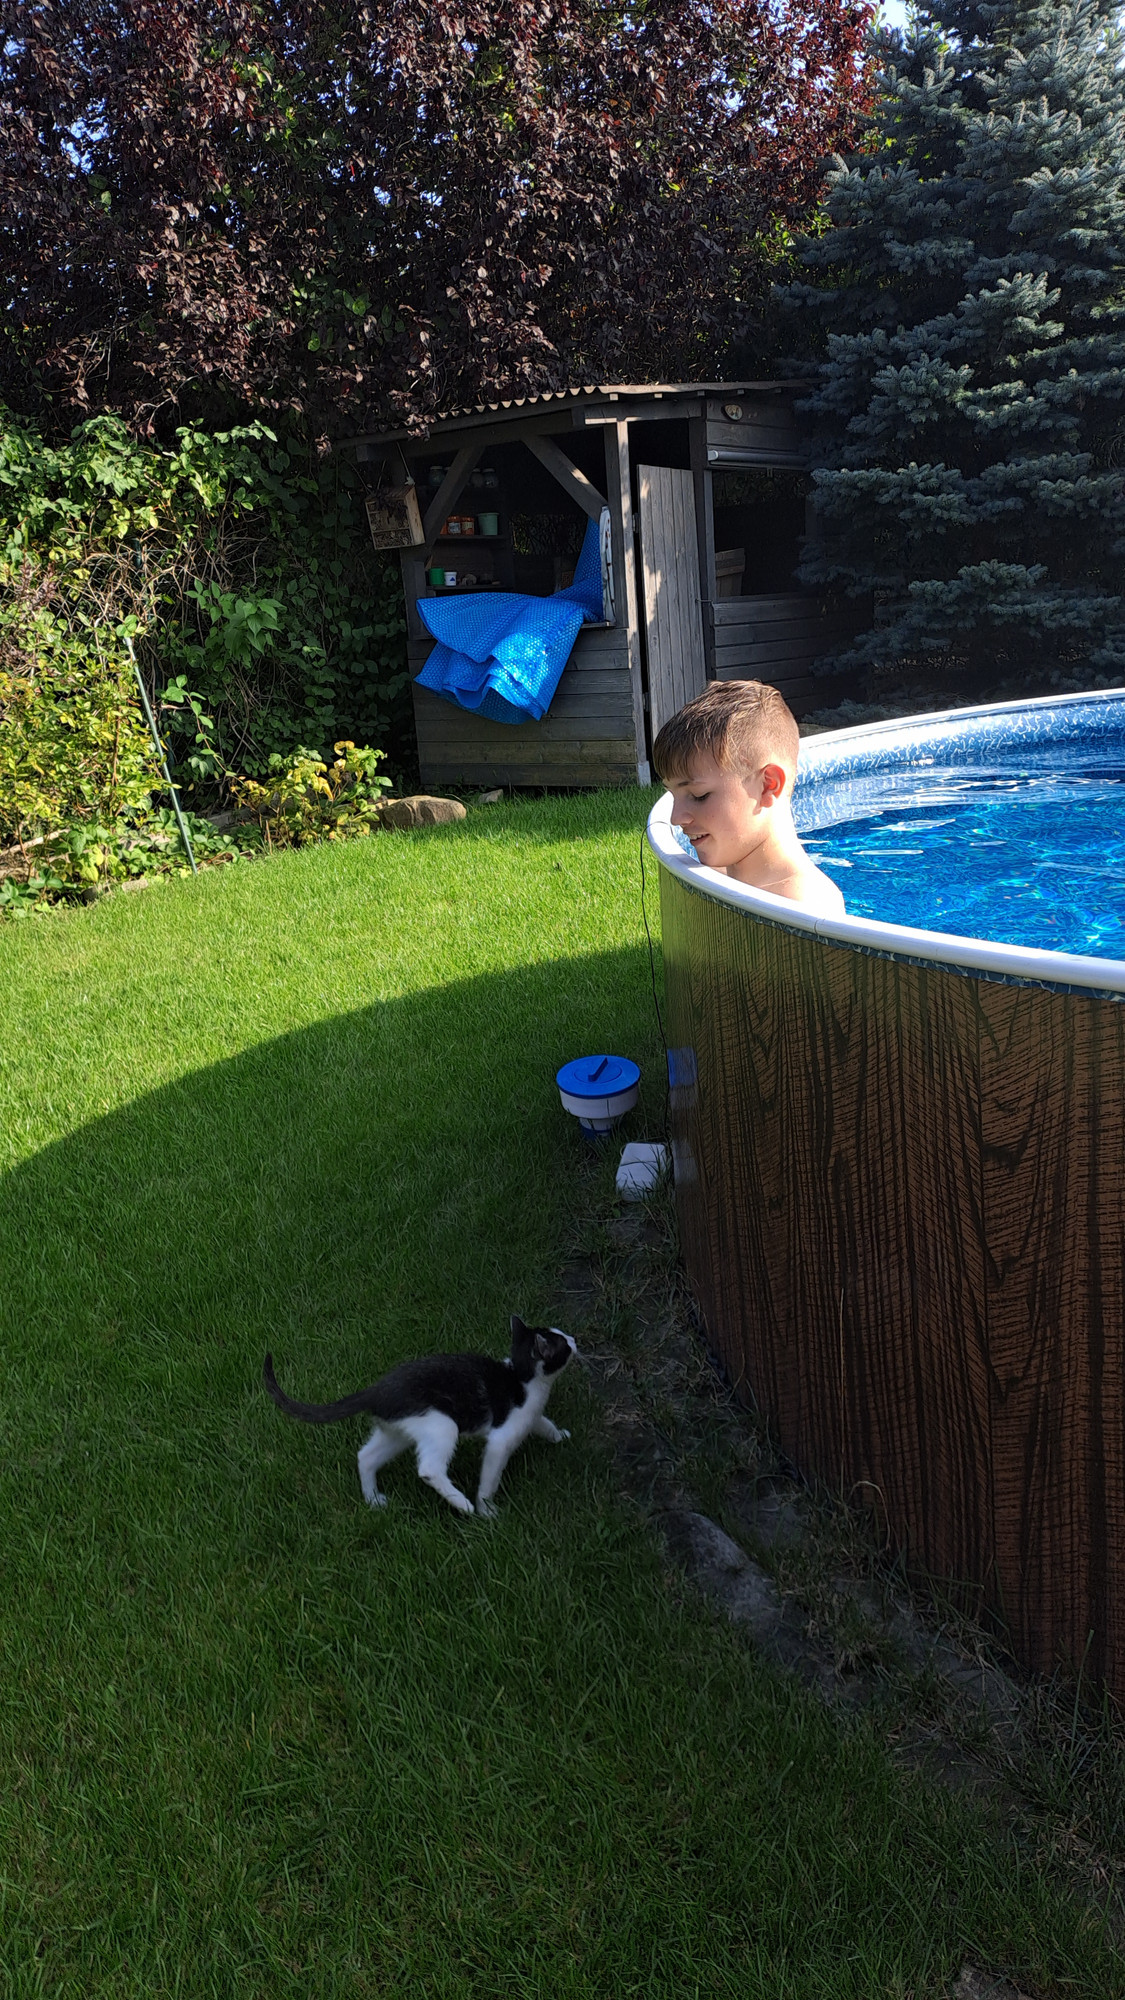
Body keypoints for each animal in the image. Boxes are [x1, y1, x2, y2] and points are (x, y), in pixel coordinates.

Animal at [263, 1315, 576, 1518]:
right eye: (563, 1343)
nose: (574, 1339)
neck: (522, 1377)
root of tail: (377, 1389)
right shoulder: (502, 1436)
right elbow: (491, 1474)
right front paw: (486, 1510)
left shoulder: (531, 1416)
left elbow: (544, 1423)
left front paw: (560, 1436)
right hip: (441, 1424)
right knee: (428, 1468)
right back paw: (460, 1503)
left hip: (399, 1430)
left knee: (366, 1456)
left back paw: (373, 1499)